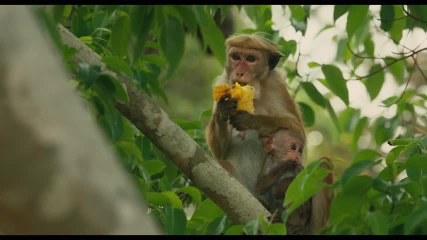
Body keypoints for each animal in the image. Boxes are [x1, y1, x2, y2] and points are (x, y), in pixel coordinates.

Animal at [206, 32, 332, 233]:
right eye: (236, 57)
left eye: (250, 59)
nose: (239, 72)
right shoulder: (222, 83)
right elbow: (220, 153)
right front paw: (222, 109)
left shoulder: (276, 85)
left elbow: (297, 131)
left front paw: (252, 120)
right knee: (223, 166)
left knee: (324, 165)